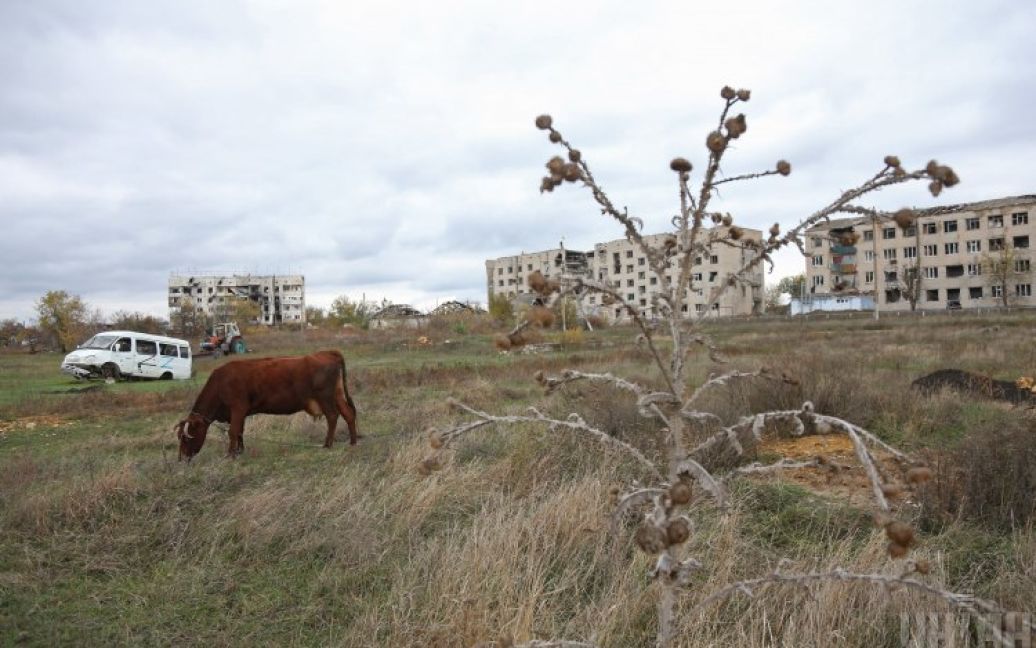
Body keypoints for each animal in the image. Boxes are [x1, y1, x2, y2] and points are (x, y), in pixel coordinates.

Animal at [176, 348, 358, 460]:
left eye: (186, 437)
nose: (182, 458)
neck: (220, 383)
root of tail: (326, 353)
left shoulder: (238, 408)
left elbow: (233, 432)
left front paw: (230, 455)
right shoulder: (240, 413)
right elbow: (240, 431)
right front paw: (240, 451)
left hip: (325, 397)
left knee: (333, 416)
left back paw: (327, 444)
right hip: (337, 395)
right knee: (348, 414)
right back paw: (353, 442)